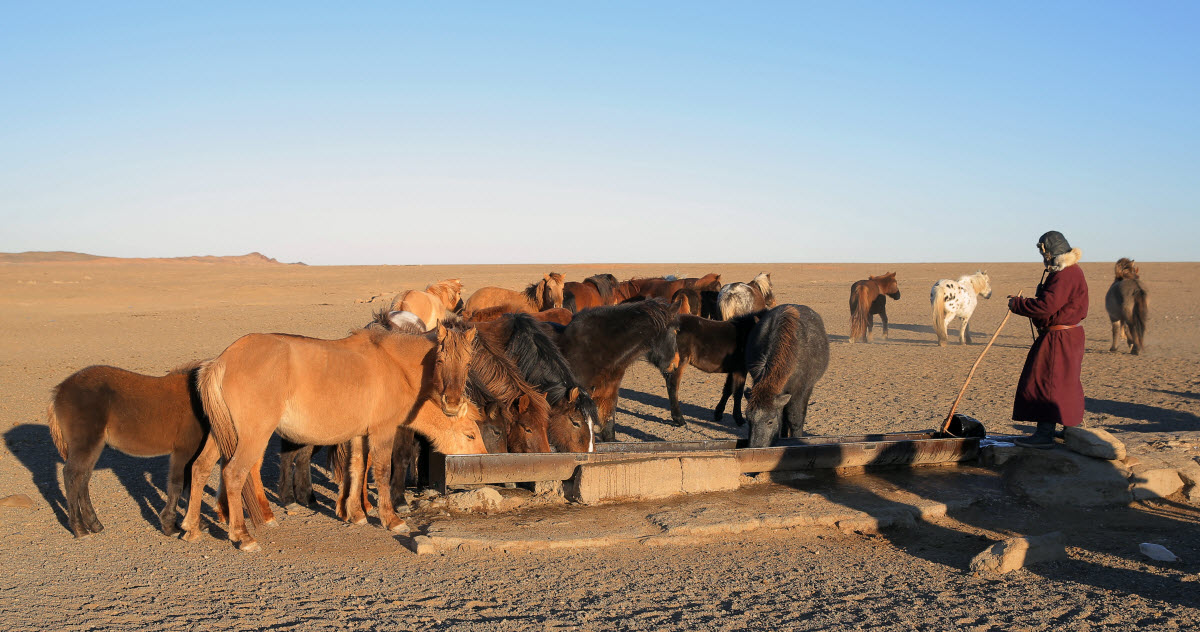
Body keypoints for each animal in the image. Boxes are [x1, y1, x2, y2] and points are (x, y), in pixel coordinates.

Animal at [47, 366, 274, 539]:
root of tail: (59, 390)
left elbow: (188, 484)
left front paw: (193, 524)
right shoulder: (183, 450)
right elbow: (177, 484)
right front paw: (171, 526)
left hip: (94, 446)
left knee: (82, 479)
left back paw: (94, 524)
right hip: (86, 445)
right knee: (72, 477)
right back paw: (79, 528)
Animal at [201, 323, 487, 551]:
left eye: (468, 363)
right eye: (470, 435)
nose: (452, 403)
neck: (394, 364)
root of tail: (223, 360)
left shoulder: (359, 435)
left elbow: (357, 468)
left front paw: (356, 514)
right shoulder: (383, 431)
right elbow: (381, 471)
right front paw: (391, 519)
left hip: (222, 435)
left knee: (203, 467)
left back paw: (199, 526)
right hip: (254, 436)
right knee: (235, 473)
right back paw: (244, 535)